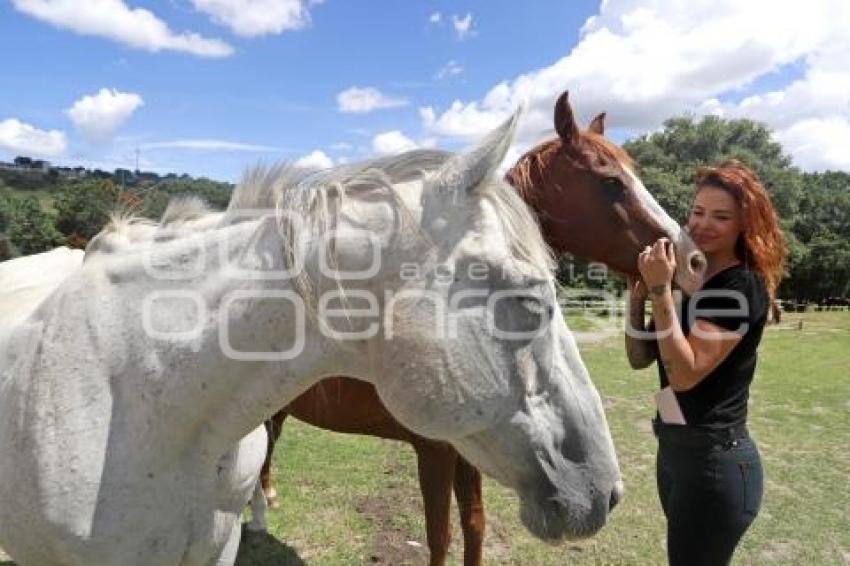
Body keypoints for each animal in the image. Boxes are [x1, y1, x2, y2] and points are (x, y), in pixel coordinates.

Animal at [262, 91, 704, 564]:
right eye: (611, 182)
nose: (692, 260)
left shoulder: (470, 451)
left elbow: (474, 523)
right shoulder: (436, 449)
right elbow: (440, 533)